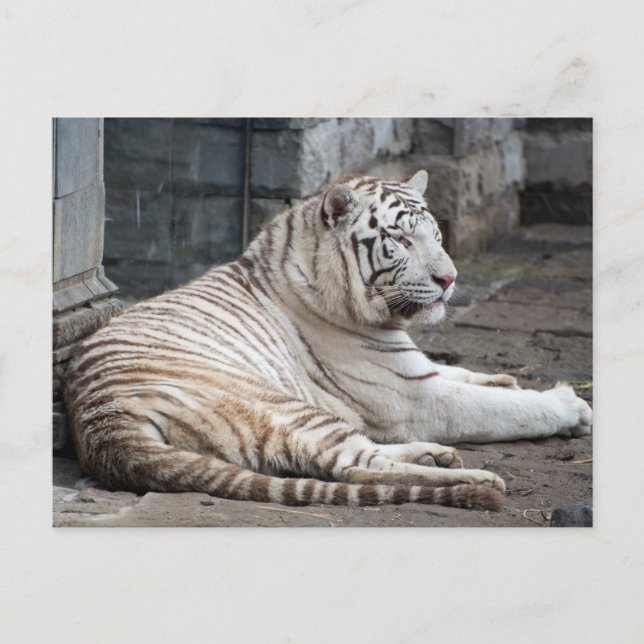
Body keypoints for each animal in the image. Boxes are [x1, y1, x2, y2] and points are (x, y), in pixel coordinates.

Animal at [64, 170, 592, 512]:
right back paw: (476, 477)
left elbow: (462, 372)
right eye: (401, 242)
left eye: (437, 235)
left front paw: (505, 380)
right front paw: (569, 405)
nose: (449, 279)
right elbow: (501, 409)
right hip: (287, 407)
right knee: (355, 468)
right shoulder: (411, 397)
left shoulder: (414, 367)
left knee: (360, 463)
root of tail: (104, 426)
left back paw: (435, 455)